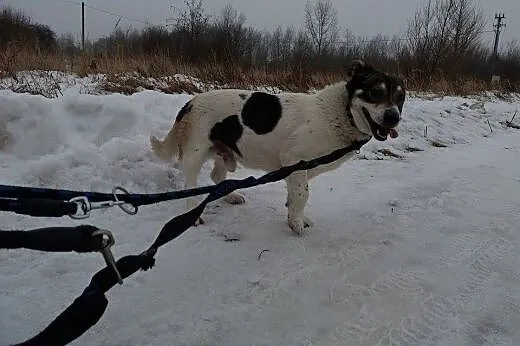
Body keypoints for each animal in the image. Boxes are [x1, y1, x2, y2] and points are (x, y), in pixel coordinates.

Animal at [150, 60, 406, 235]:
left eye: (400, 98)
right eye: (375, 91)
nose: (393, 117)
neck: (341, 113)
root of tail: (189, 103)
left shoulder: (297, 169)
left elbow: (295, 194)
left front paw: (295, 216)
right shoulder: (294, 158)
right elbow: (302, 194)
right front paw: (295, 223)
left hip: (224, 152)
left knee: (216, 176)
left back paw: (230, 196)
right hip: (196, 154)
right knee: (190, 185)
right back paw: (192, 215)